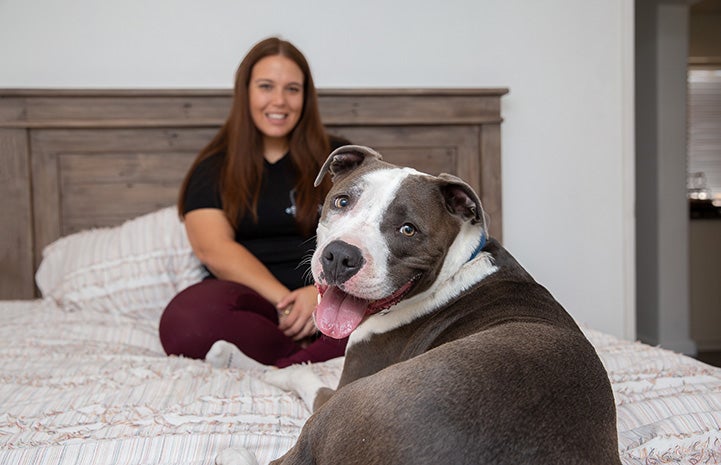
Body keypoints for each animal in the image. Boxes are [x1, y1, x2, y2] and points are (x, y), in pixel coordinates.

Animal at [217, 145, 620, 464]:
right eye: (343, 201)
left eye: (408, 230)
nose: (340, 257)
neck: (456, 269)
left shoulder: (346, 381)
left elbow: (302, 372)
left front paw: (269, 370)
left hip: (343, 408)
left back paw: (233, 451)